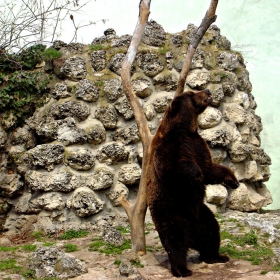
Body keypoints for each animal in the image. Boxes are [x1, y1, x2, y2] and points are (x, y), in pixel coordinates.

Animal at [145, 89, 240, 278]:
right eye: (191, 93)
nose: (208, 90)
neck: (185, 129)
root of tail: (191, 236)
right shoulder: (169, 148)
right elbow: (176, 168)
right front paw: (196, 175)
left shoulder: (197, 144)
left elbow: (210, 169)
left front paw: (233, 180)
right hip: (170, 211)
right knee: (174, 241)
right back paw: (182, 269)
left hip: (201, 215)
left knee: (211, 231)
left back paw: (216, 256)